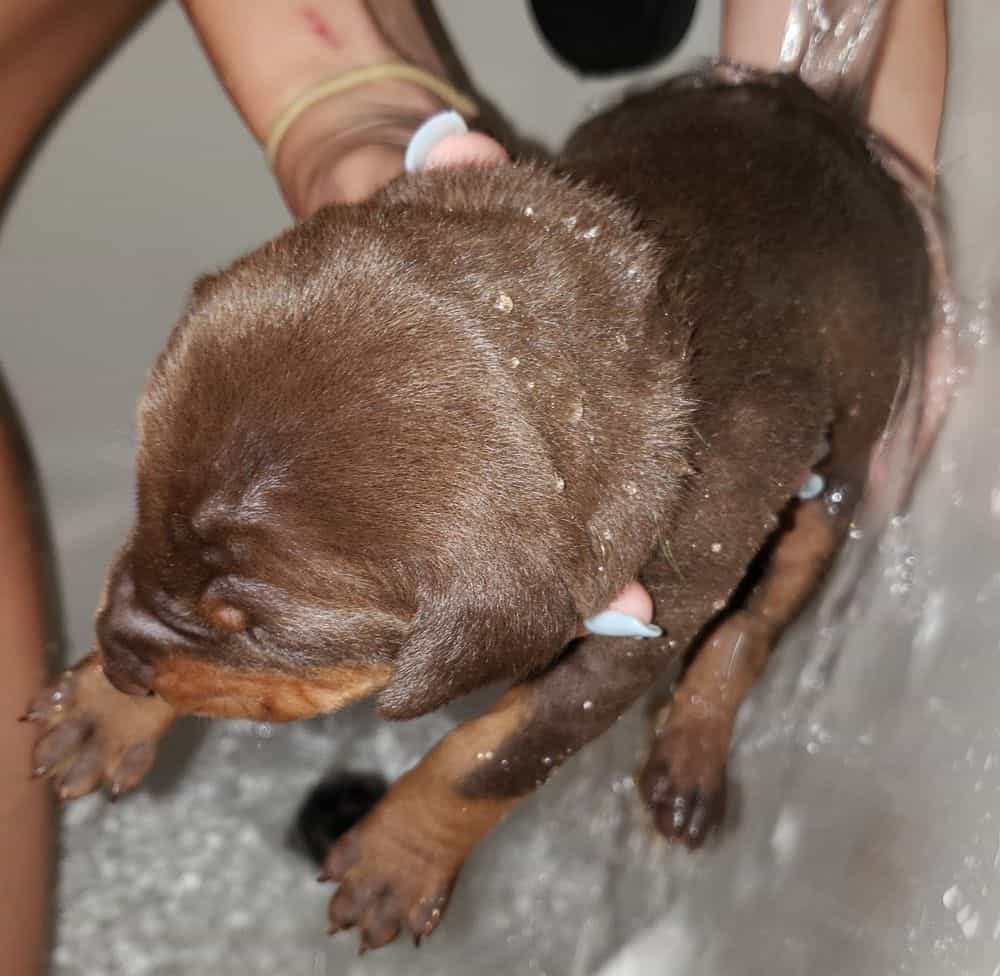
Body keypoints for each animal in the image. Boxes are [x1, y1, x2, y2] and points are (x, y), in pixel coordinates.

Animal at [27, 70, 932, 952]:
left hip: (844, 462)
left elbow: (497, 754)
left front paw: (396, 861)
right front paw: (104, 709)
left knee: (760, 615)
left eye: (253, 626)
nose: (116, 660)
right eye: (141, 503)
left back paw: (690, 758)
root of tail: (829, 108)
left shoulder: (638, 627)